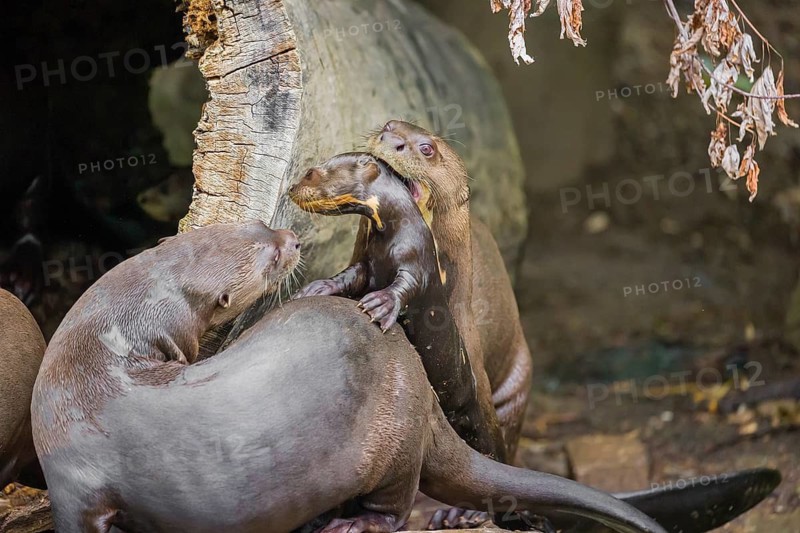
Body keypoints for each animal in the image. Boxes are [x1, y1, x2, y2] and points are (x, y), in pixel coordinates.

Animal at [288, 152, 505, 462]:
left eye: (310, 173)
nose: (291, 188)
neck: (390, 236)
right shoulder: (367, 264)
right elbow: (348, 276)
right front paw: (318, 287)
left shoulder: (416, 261)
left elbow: (407, 286)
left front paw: (380, 303)